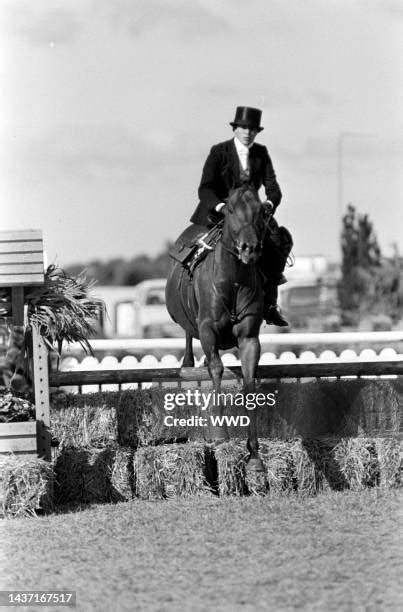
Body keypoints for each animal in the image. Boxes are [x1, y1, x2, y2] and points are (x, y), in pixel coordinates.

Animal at [166, 184, 270, 470]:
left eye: (261, 211)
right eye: (231, 210)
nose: (249, 248)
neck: (233, 281)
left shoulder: (249, 338)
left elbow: (248, 384)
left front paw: (254, 454)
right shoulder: (207, 331)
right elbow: (216, 369)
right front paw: (220, 433)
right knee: (190, 351)